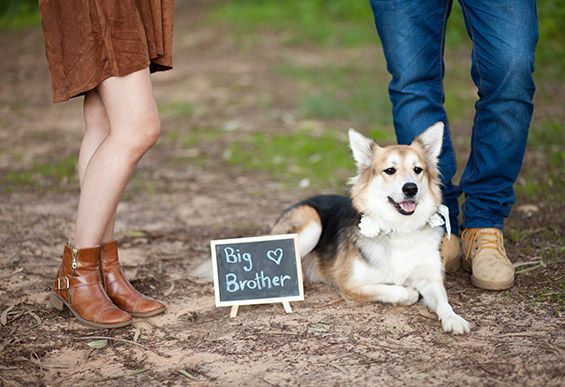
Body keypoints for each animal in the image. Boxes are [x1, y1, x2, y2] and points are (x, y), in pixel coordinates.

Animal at [270, 123, 470, 334]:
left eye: (418, 169)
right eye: (390, 170)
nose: (410, 188)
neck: (400, 229)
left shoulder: (430, 279)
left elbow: (444, 301)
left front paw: (453, 318)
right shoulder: (350, 284)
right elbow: (395, 290)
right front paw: (409, 293)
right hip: (312, 223)